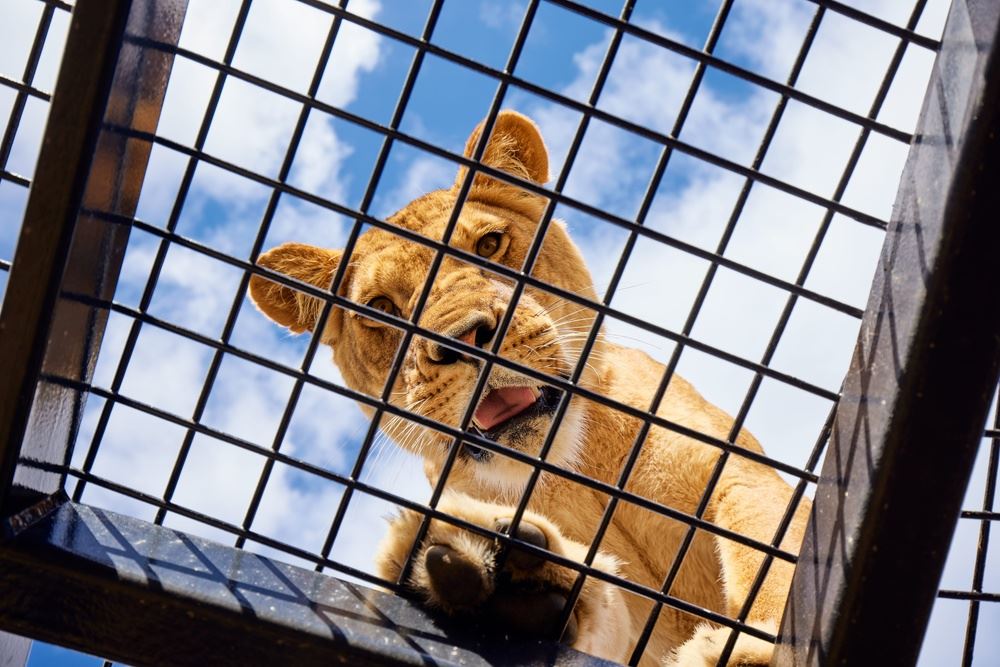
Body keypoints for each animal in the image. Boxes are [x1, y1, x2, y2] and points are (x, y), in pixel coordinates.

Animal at [248, 110, 811, 665]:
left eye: (489, 245)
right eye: (381, 308)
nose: (463, 339)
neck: (573, 471)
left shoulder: (741, 478)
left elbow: (773, 555)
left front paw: (752, 648)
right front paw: (506, 584)